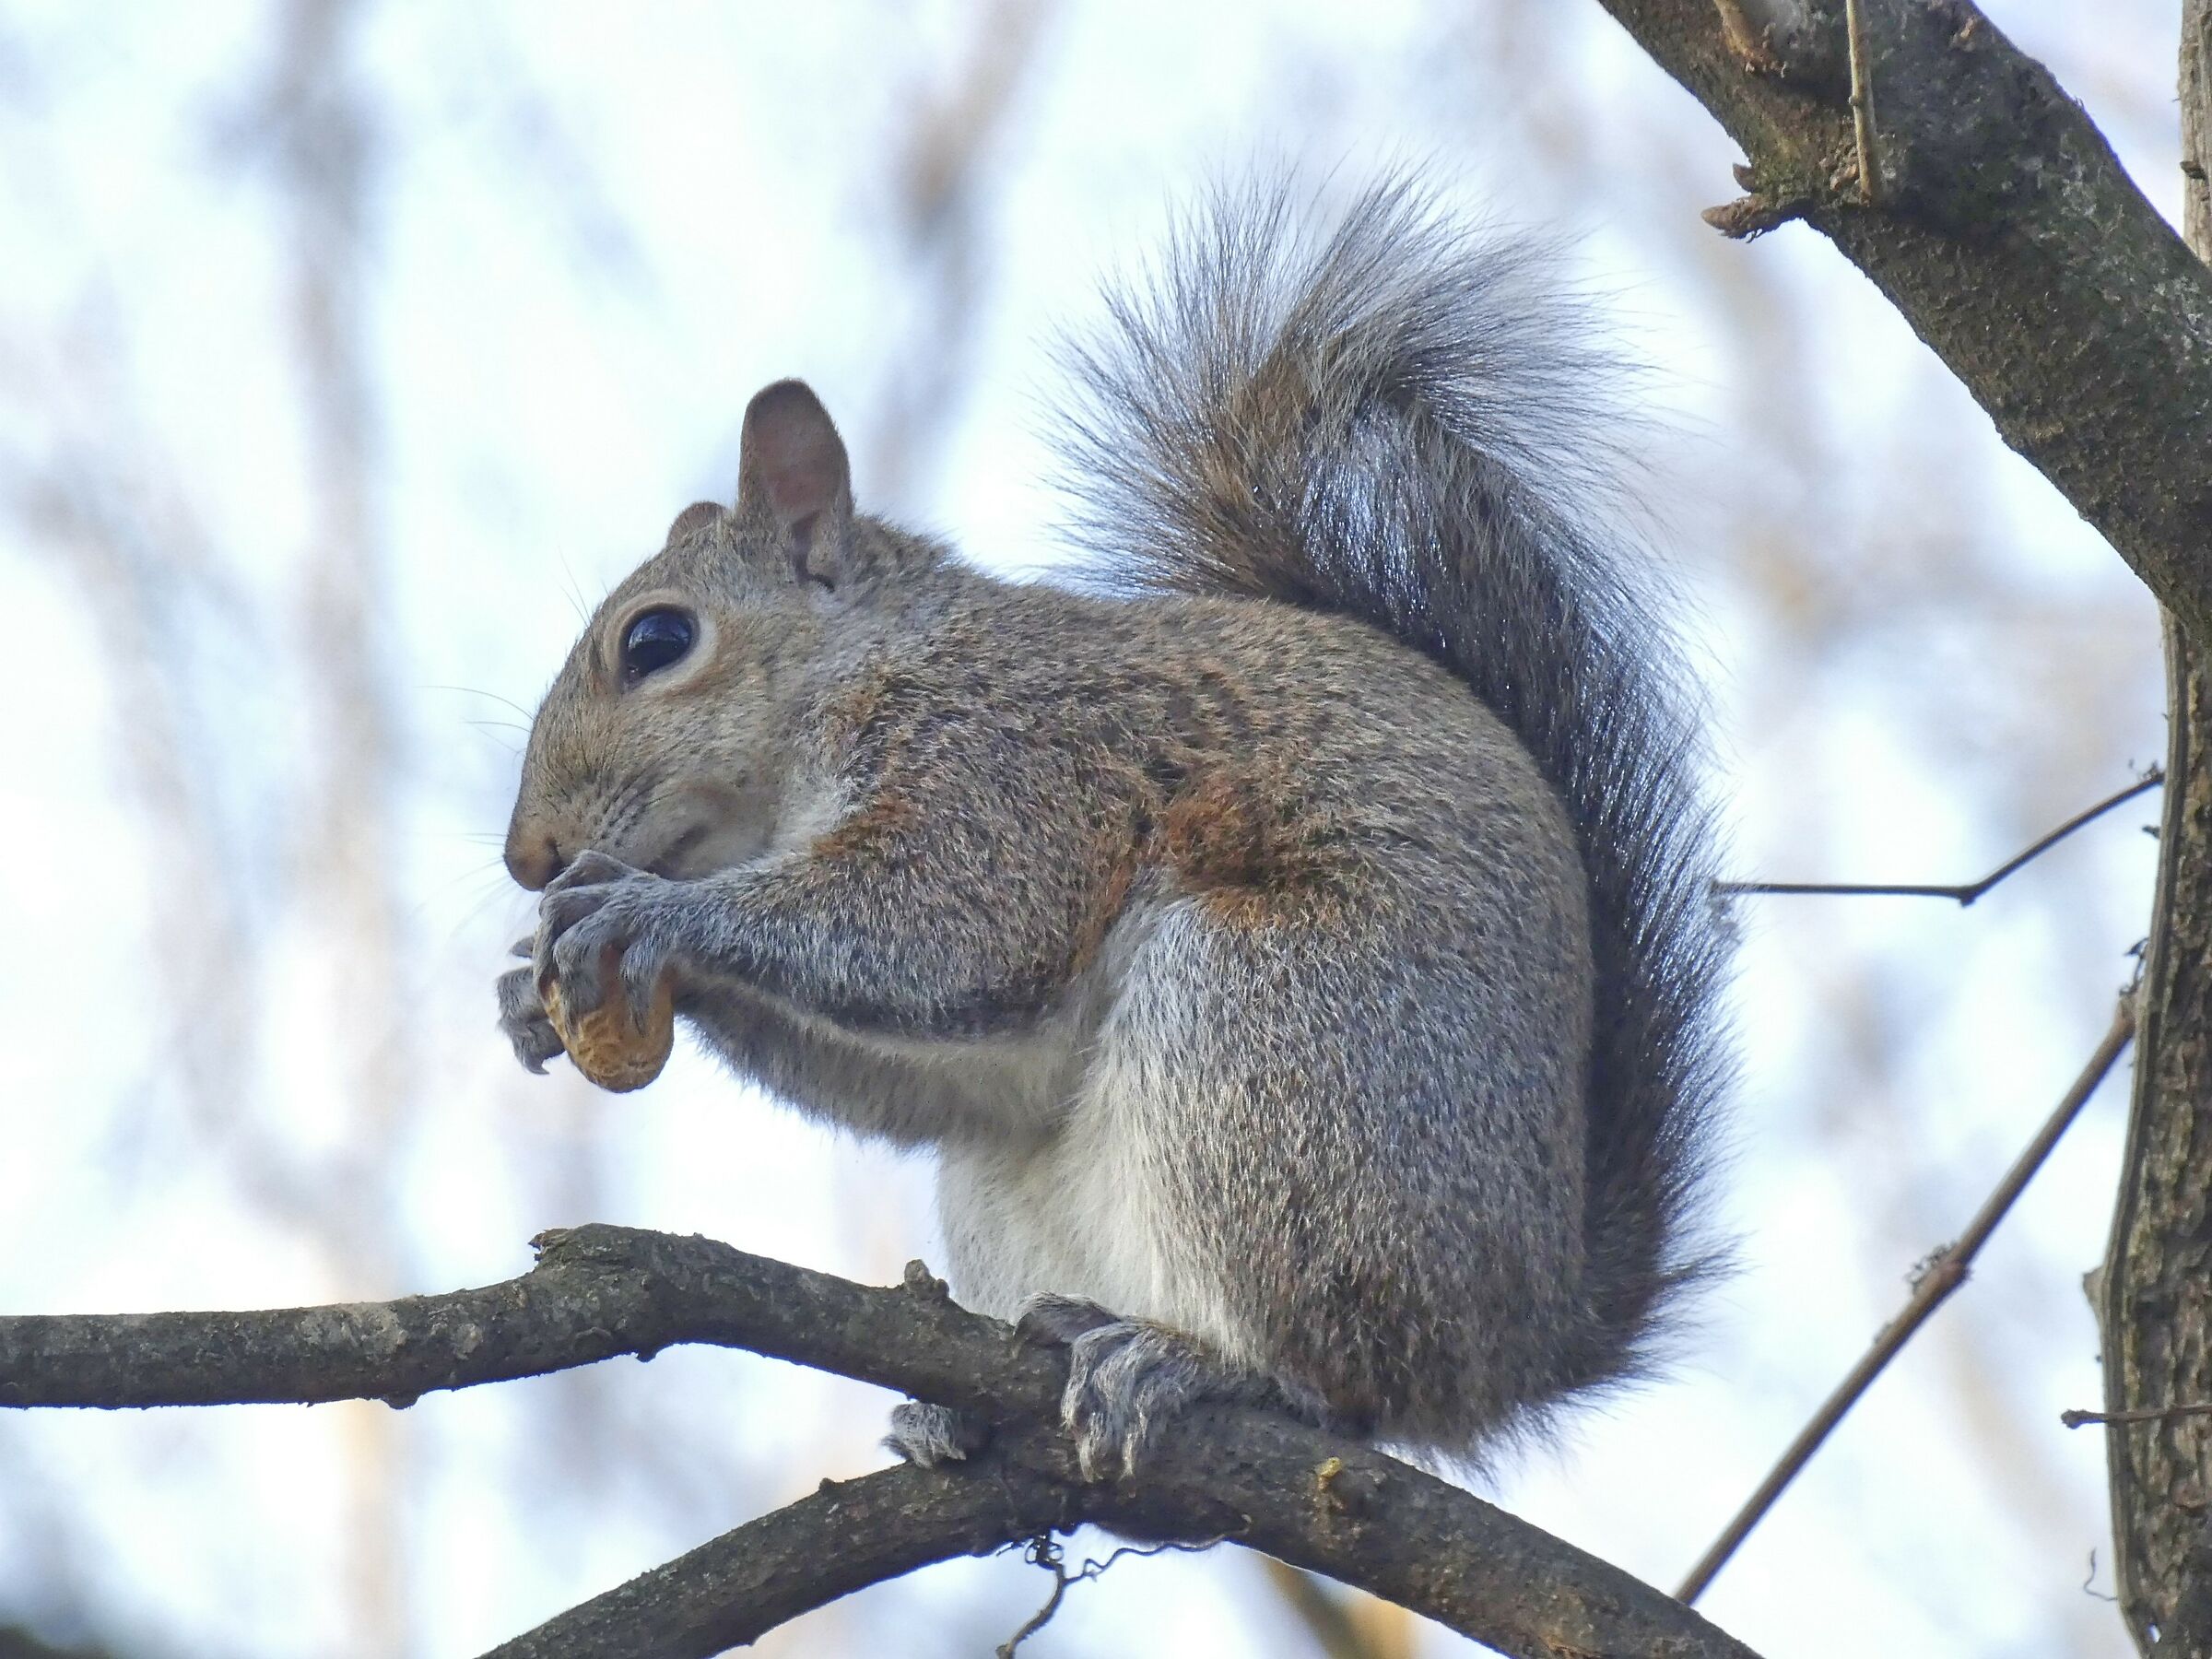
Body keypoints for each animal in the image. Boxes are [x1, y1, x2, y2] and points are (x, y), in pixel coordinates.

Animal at [496, 179, 1728, 1478]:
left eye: (657, 641)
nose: (528, 855)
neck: (871, 675)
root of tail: (1518, 1348)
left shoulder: (1013, 775)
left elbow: (947, 927)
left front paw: (646, 912)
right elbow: (937, 1072)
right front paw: (529, 986)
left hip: (1281, 1044)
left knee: (1340, 1384)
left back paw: (1198, 1364)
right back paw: (967, 1405)